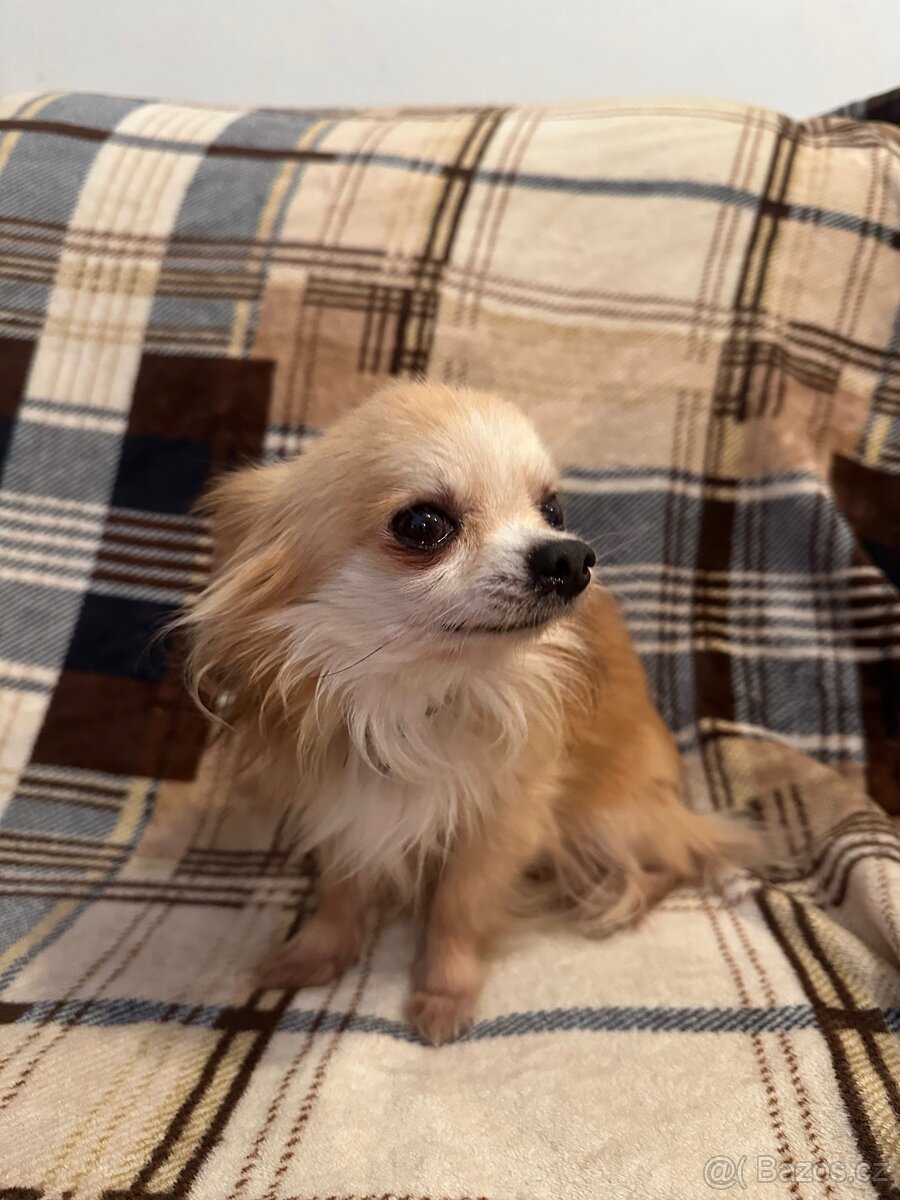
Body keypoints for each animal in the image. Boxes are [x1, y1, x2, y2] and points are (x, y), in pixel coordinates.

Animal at [183, 381, 758, 1044]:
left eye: (553, 511)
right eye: (423, 524)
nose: (571, 557)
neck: (414, 703)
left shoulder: (501, 826)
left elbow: (458, 909)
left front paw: (444, 992)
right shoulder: (343, 808)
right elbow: (342, 890)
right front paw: (317, 953)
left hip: (608, 815)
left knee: (678, 855)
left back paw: (610, 896)